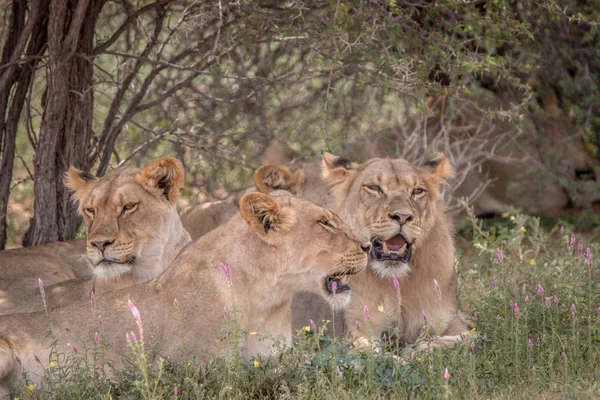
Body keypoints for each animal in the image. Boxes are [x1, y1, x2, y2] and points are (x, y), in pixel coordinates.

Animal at [0, 191, 370, 390]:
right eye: (325, 223)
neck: (266, 298)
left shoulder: (273, 353)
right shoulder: (193, 368)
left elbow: (309, 364)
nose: (369, 246)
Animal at [255, 153, 472, 346]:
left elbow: (466, 338)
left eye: (417, 191)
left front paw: (425, 348)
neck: (397, 283)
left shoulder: (447, 320)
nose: (402, 216)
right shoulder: (355, 330)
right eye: (375, 188)